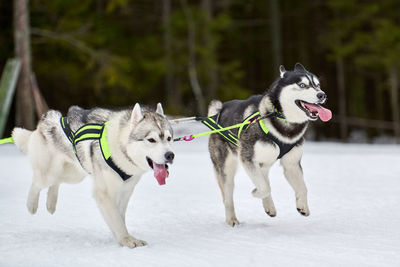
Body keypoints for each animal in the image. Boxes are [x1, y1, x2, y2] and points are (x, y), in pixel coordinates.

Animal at [10, 103, 173, 248]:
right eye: (151, 140)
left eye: (169, 138)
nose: (170, 155)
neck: (120, 148)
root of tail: (46, 120)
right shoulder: (104, 194)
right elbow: (116, 219)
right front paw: (127, 240)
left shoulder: (125, 191)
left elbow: (119, 217)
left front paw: (120, 238)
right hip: (49, 173)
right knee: (37, 182)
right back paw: (31, 205)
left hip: (75, 174)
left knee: (56, 182)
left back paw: (51, 203)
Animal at [208, 63, 332, 227]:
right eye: (302, 85)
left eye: (317, 85)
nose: (322, 95)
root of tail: (218, 112)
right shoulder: (247, 159)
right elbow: (265, 187)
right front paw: (256, 192)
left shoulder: (291, 164)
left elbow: (303, 188)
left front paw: (302, 206)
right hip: (227, 169)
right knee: (228, 197)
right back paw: (232, 219)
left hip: (264, 164)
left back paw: (269, 207)